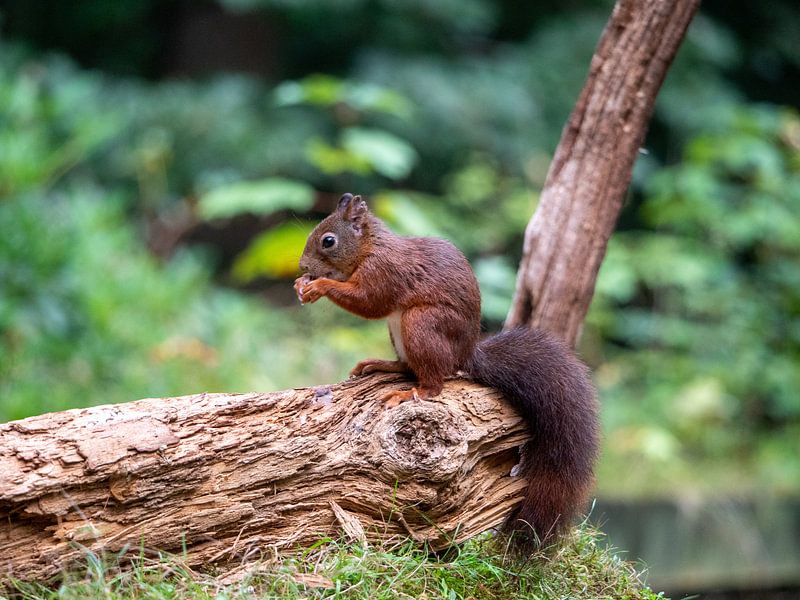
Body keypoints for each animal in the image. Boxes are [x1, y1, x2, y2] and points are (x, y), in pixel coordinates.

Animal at [294, 192, 599, 546]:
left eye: (328, 241)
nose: (303, 268)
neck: (369, 247)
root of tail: (465, 355)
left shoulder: (384, 271)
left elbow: (369, 301)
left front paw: (317, 286)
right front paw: (303, 285)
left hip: (421, 325)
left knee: (434, 381)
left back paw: (411, 393)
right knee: (407, 366)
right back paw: (380, 365)